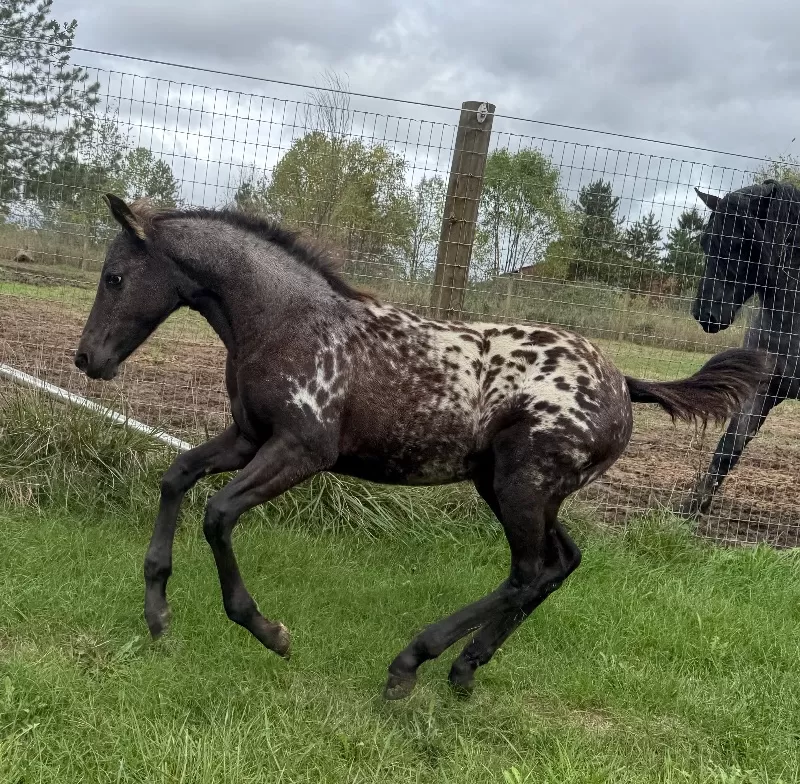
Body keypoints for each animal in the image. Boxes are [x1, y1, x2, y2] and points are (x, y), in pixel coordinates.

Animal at [680, 181, 800, 516]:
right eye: (706, 241)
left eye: (739, 243)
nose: (705, 313)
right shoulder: (764, 389)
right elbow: (729, 446)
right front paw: (693, 507)